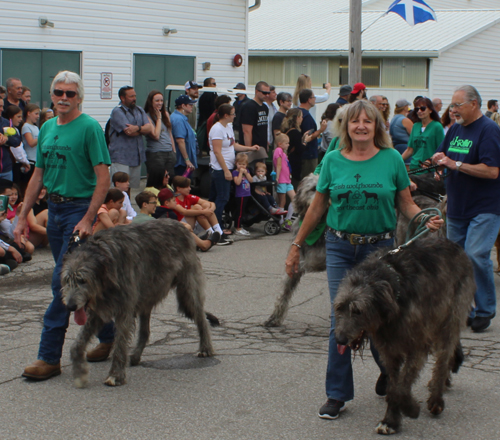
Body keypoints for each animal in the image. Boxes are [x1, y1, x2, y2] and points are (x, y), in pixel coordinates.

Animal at [61, 220, 217, 388]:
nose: (70, 306)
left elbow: (120, 344)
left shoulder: (124, 309)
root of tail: (183, 226)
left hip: (187, 291)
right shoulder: (98, 311)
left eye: (83, 280)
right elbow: (77, 344)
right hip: (146, 294)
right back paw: (135, 356)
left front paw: (115, 375)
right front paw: (80, 371)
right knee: (145, 331)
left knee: (201, 317)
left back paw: (206, 348)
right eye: (67, 280)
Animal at [334, 237, 474, 434]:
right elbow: (394, 386)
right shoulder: (389, 350)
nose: (339, 339)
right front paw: (391, 420)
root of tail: (456, 246)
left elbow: (401, 387)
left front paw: (410, 408)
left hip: (451, 317)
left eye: (358, 311)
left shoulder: (418, 345)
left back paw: (436, 399)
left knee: (443, 359)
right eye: (339, 307)